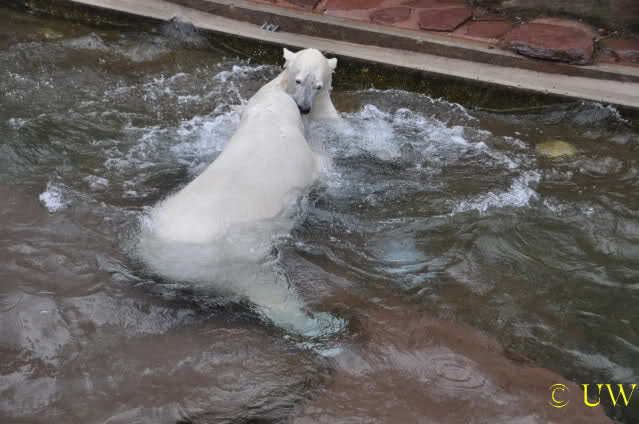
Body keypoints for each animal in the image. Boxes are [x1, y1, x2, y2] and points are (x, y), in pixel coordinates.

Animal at [136, 48, 342, 336]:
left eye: (319, 85)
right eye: (299, 81)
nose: (304, 107)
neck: (270, 118)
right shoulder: (303, 159)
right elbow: (323, 164)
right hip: (240, 259)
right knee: (268, 287)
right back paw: (319, 324)